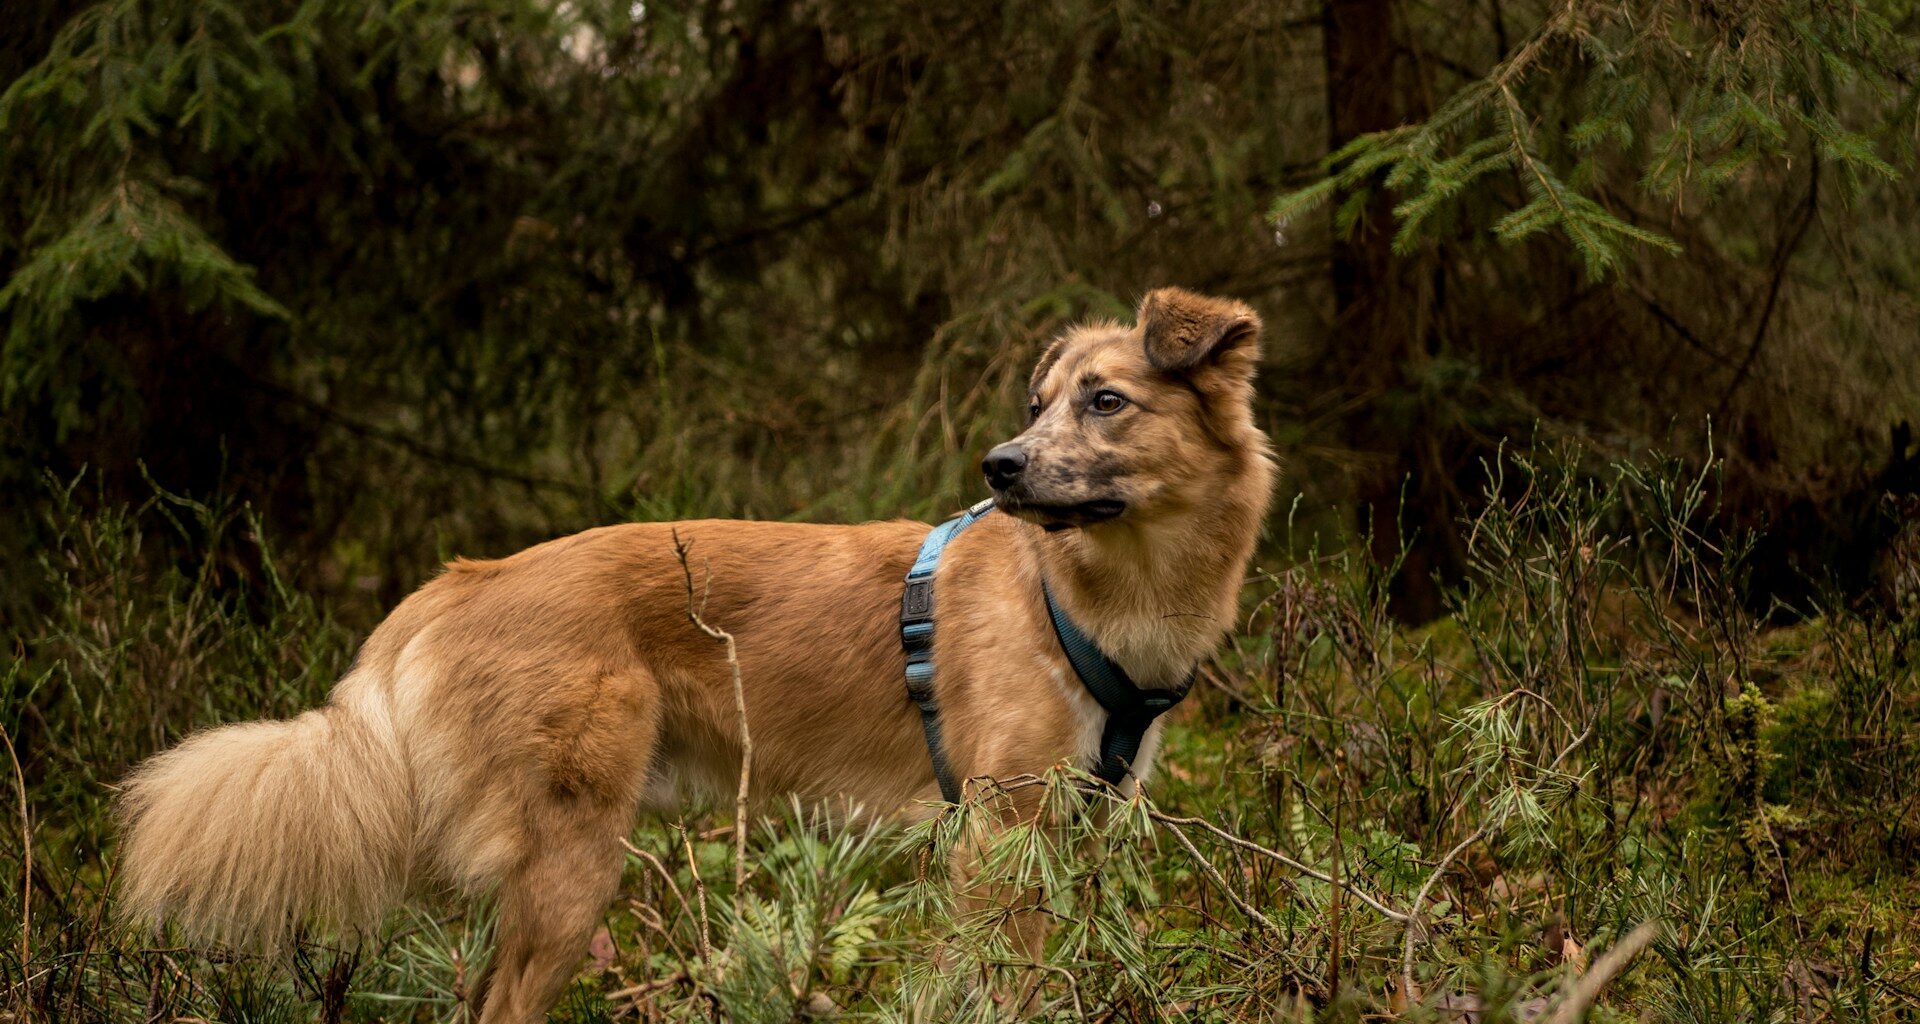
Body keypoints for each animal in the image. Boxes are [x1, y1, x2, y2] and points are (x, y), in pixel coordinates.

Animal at [116, 284, 1274, 1014]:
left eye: (1106, 401)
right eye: (1039, 407)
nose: (1001, 465)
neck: (1084, 596)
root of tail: (465, 578)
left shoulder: (1076, 833)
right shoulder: (999, 839)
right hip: (572, 871)